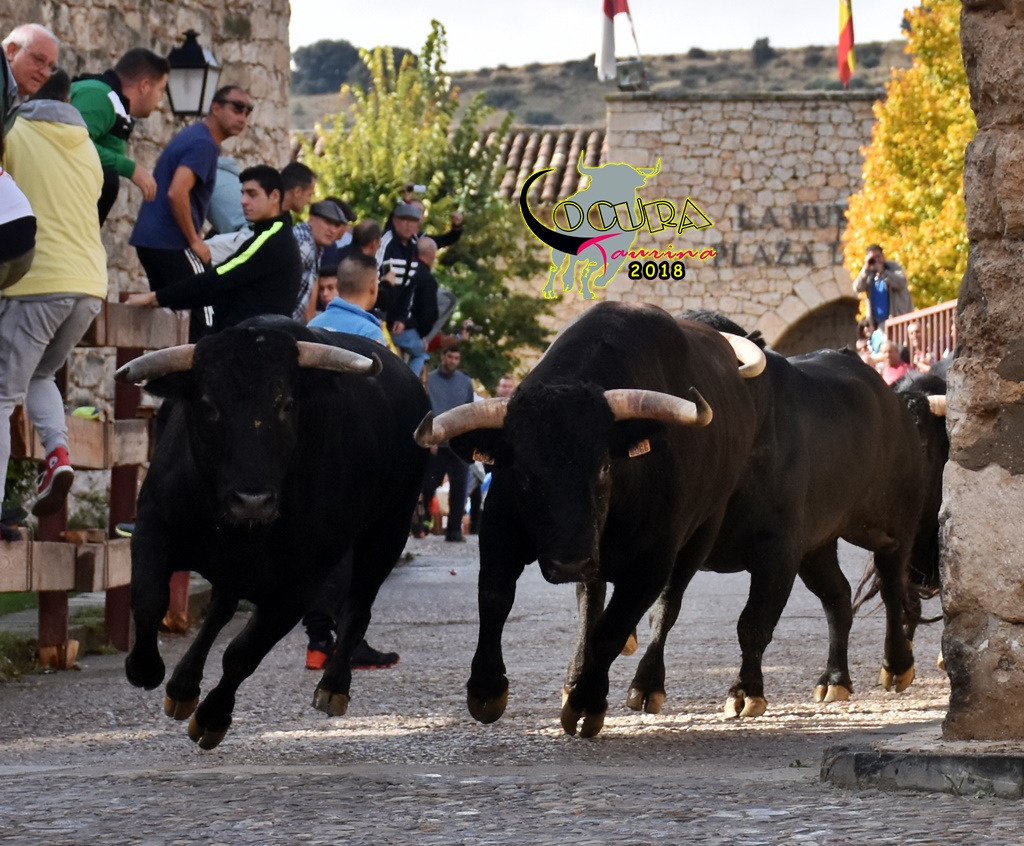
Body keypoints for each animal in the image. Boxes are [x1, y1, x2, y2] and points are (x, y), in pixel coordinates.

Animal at [115, 316, 430, 749]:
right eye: (208, 405)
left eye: (286, 405)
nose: (253, 500)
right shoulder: (153, 524)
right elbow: (149, 600)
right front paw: (144, 668)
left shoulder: (300, 583)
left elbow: (242, 654)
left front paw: (212, 718)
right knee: (220, 608)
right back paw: (182, 686)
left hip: (388, 530)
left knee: (359, 604)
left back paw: (333, 686)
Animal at [414, 301, 766, 737]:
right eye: (524, 473)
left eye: (604, 467)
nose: (569, 562)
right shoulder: (499, 532)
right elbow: (495, 599)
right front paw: (487, 689)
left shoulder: (653, 561)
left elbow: (614, 629)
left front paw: (586, 703)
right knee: (590, 603)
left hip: (701, 532)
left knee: (665, 606)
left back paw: (645, 685)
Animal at [622, 310, 929, 720]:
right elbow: (663, 611)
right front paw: (645, 686)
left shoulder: (777, 551)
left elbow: (753, 623)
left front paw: (746, 691)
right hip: (817, 545)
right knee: (838, 596)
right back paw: (835, 680)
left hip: (892, 523)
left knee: (892, 584)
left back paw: (896, 666)